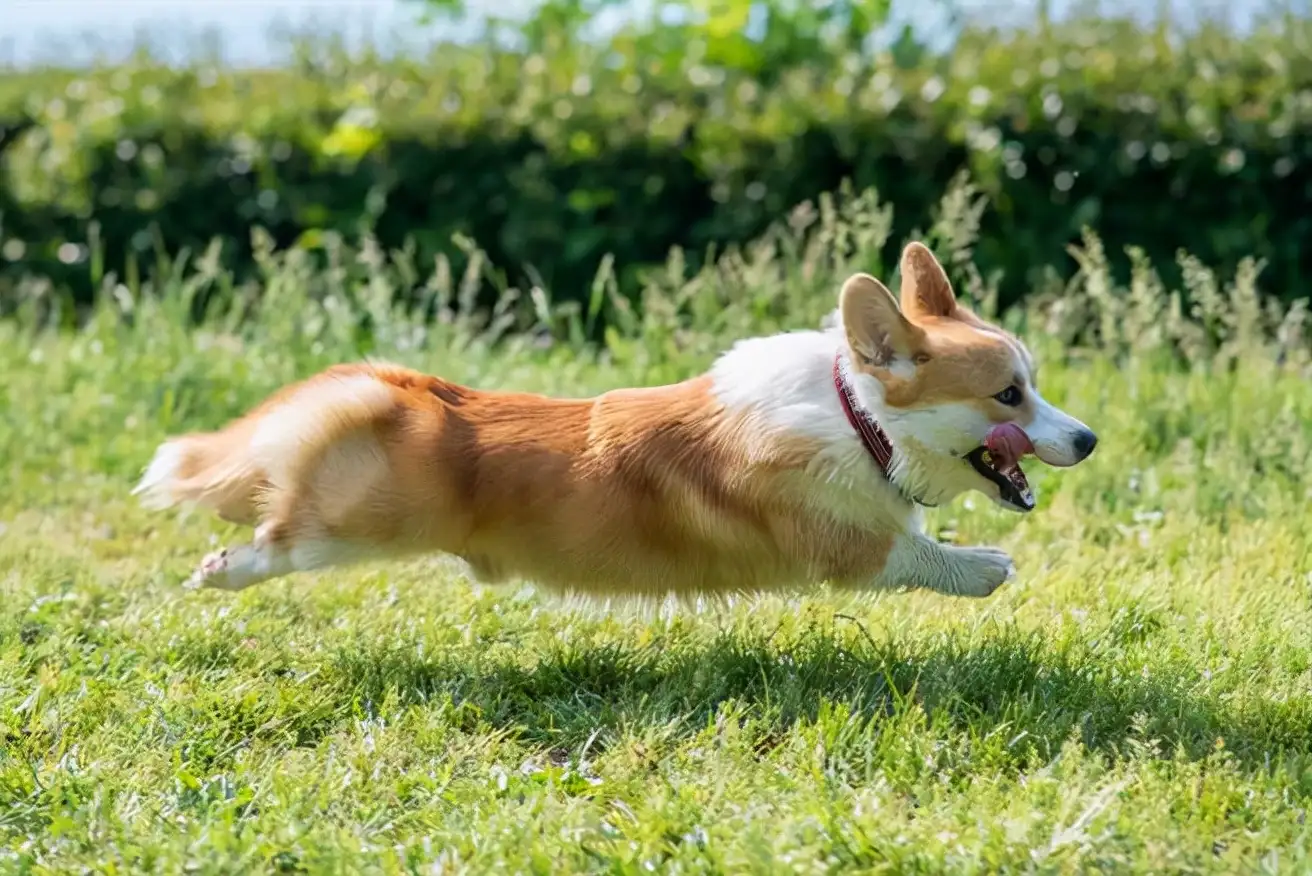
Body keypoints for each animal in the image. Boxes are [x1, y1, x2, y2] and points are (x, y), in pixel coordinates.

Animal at [135, 245, 1096, 603]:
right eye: (1009, 396)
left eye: (1034, 385)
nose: (1087, 440)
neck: (859, 417)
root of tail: (395, 384)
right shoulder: (832, 541)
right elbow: (911, 553)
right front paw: (984, 565)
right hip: (352, 527)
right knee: (276, 533)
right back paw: (223, 566)